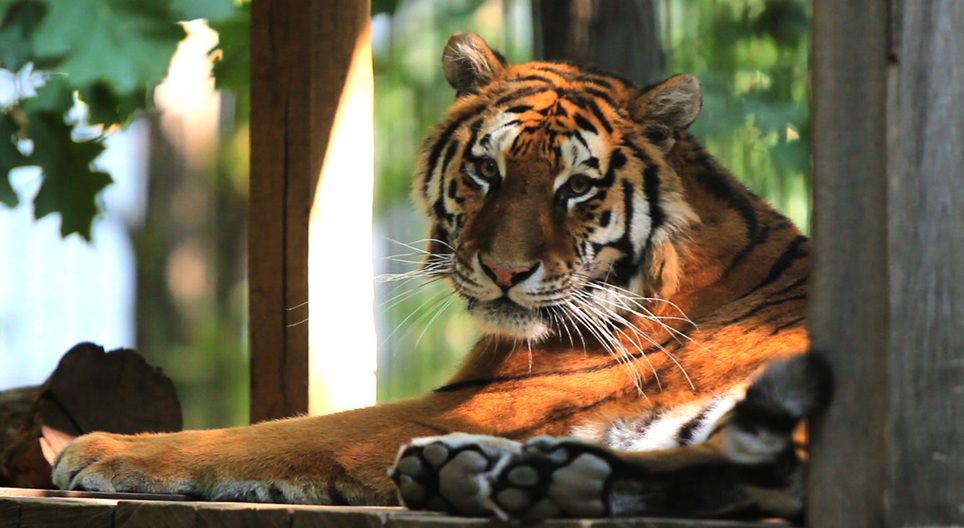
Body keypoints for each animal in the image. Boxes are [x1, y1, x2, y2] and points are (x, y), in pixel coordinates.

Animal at [51, 32, 831, 520]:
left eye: (578, 188)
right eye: (486, 170)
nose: (507, 270)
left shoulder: (474, 403)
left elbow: (274, 433)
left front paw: (96, 449)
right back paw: (504, 475)